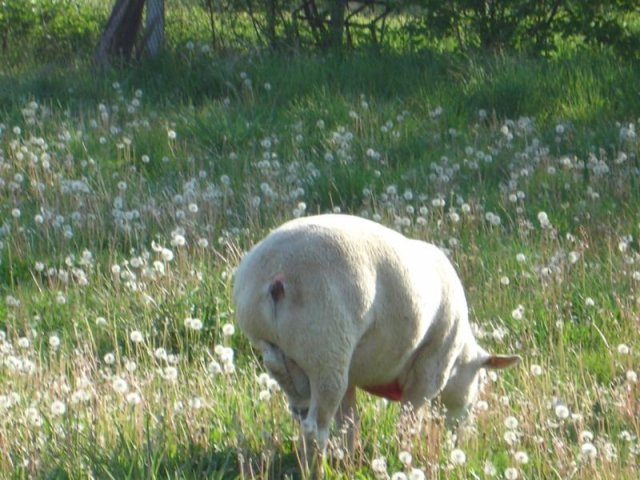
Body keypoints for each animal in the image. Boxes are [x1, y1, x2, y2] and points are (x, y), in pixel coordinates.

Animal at [232, 214, 524, 454]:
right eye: (480, 381)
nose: (460, 439)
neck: (459, 358)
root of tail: (276, 275)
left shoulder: (351, 376)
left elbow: (350, 422)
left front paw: (350, 458)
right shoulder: (428, 372)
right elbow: (408, 423)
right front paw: (405, 458)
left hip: (292, 351)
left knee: (298, 401)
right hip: (326, 346)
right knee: (315, 430)